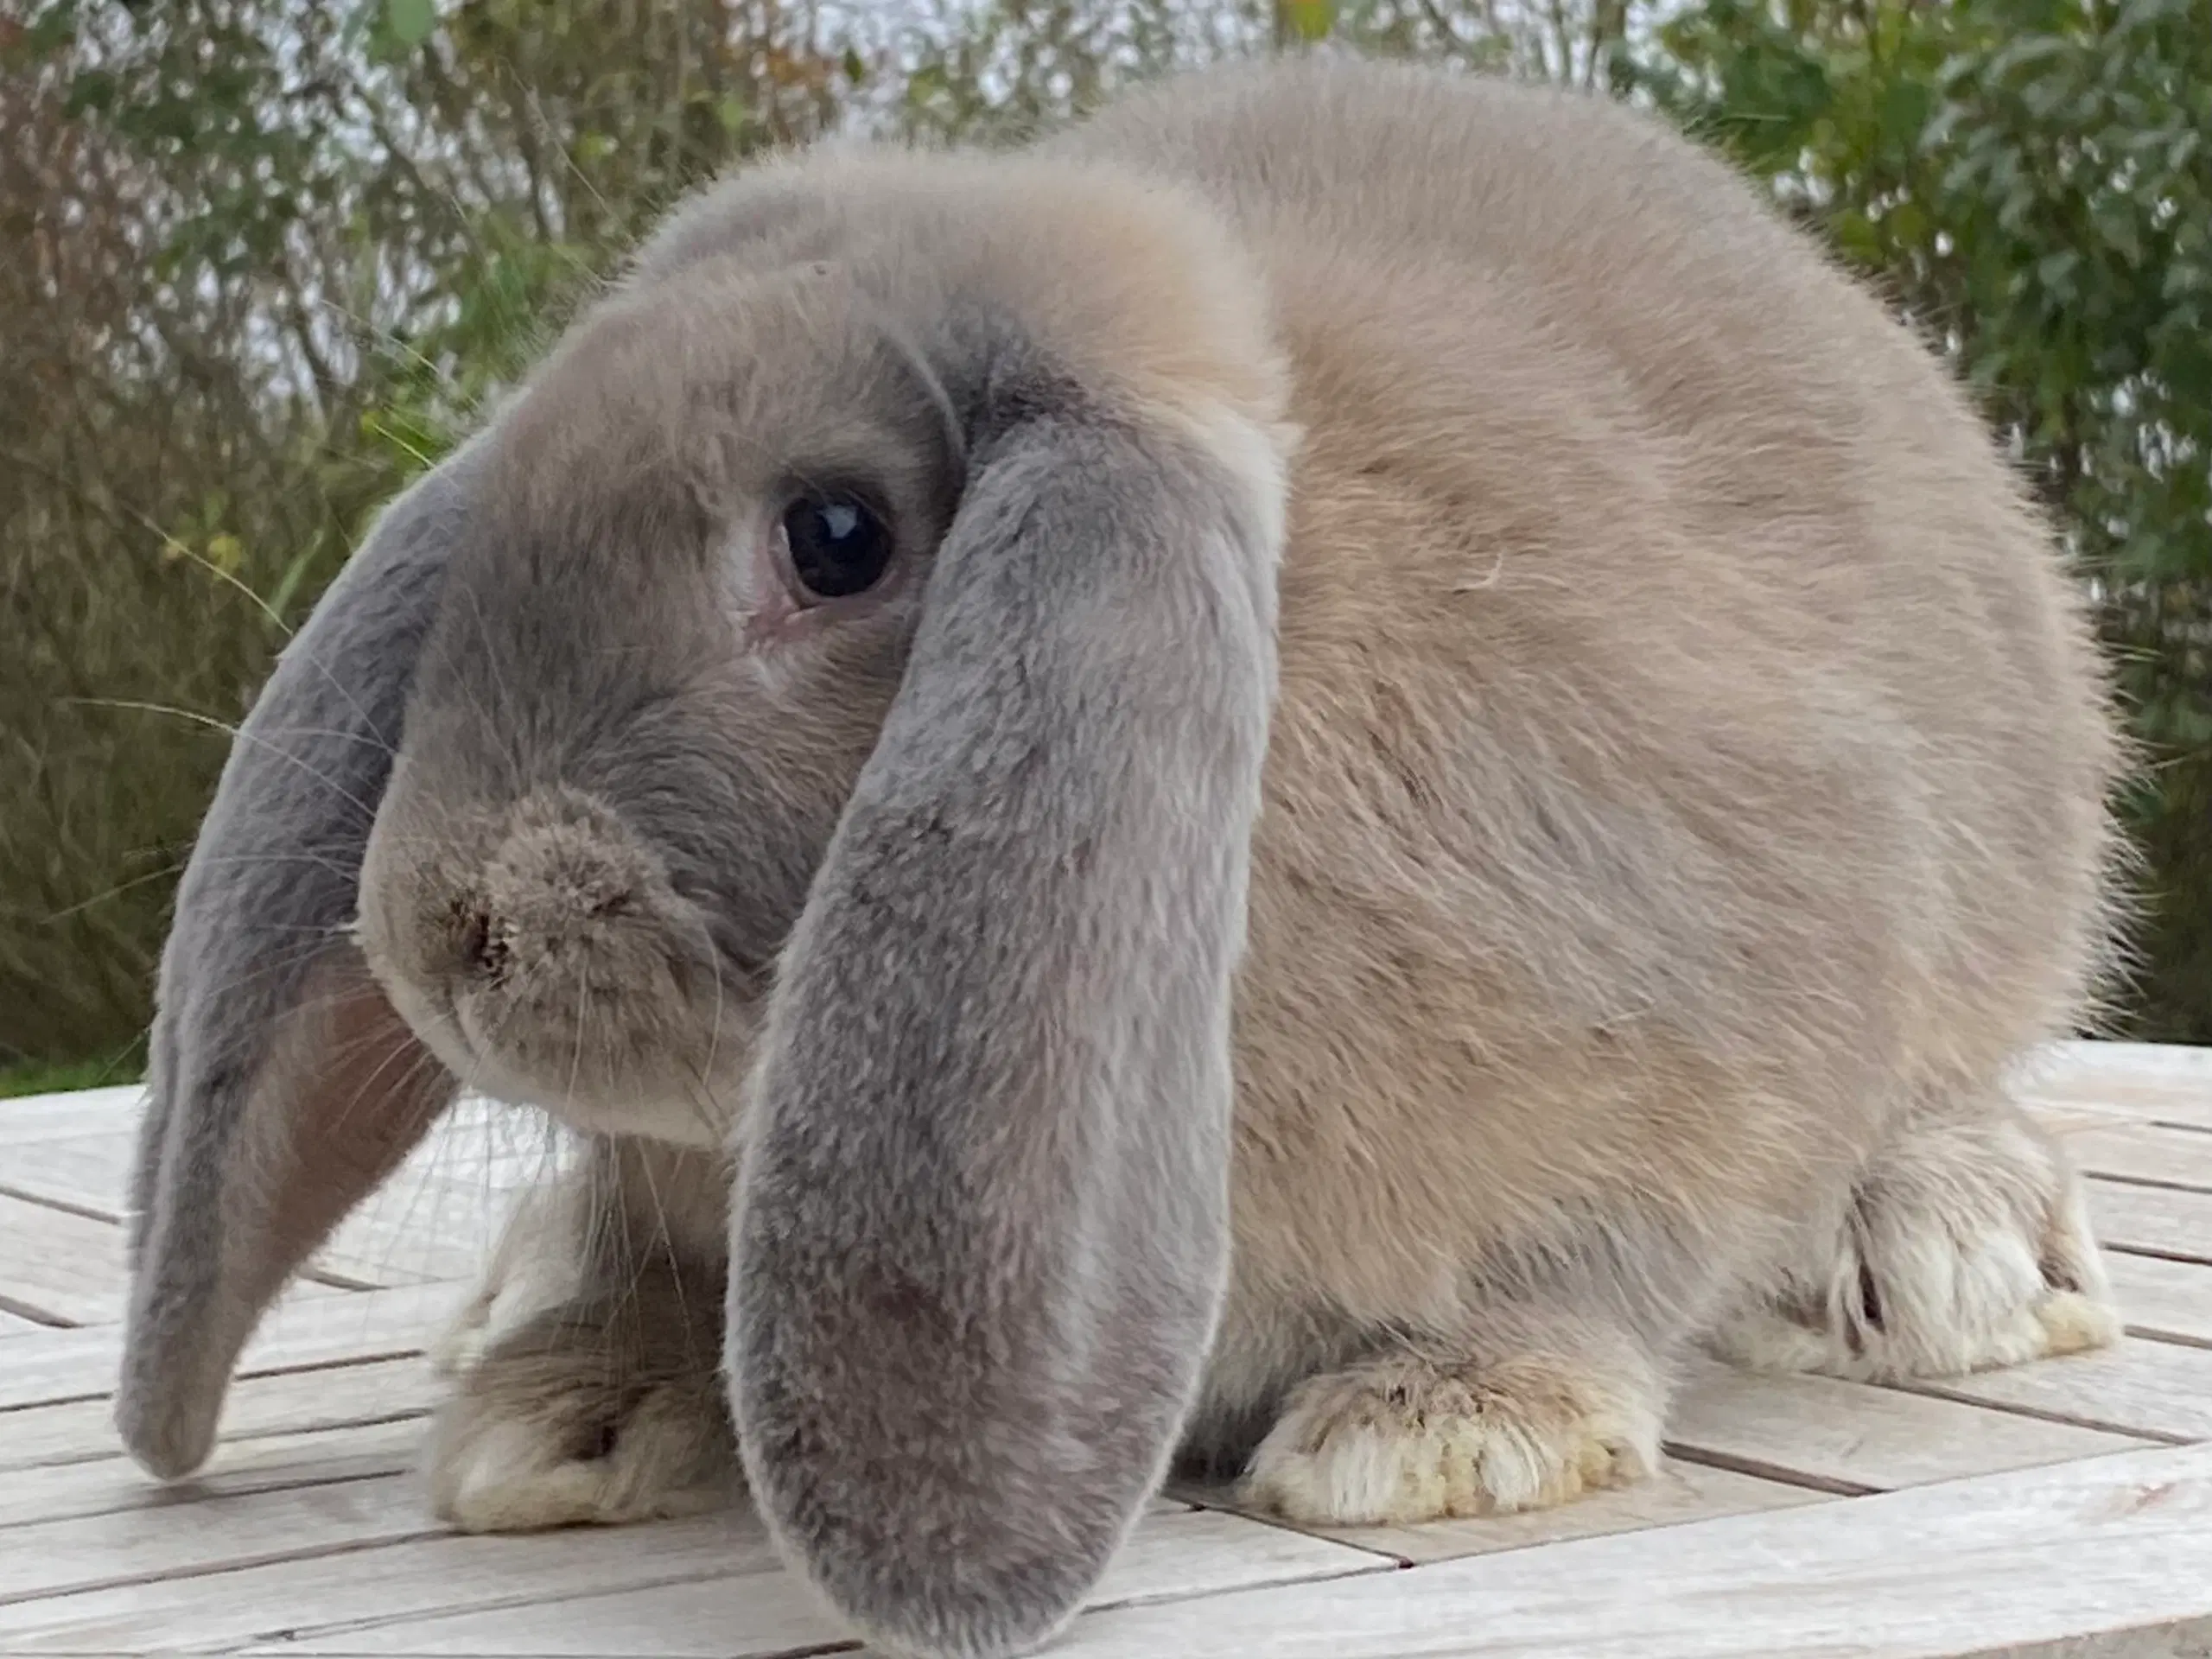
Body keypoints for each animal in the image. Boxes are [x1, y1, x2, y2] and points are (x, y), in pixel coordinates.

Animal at [121, 52, 2123, 1659]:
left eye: (835, 537)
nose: (436, 930)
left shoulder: (1724, 1004)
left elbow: (1607, 1249)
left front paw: (1435, 1427)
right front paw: (563, 1415)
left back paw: (1945, 1253)